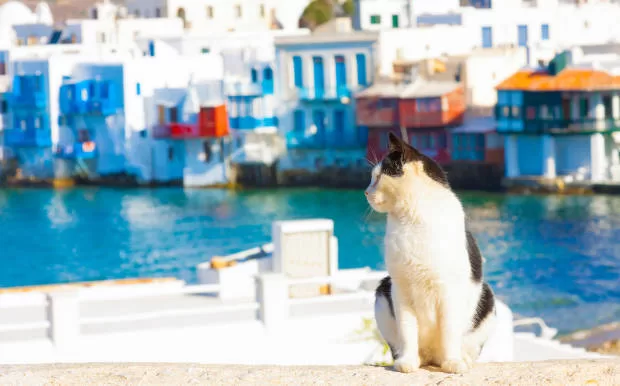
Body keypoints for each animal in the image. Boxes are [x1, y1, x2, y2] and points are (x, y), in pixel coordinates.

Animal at [366, 133, 496, 374]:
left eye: (378, 177)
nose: (366, 192)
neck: (412, 218)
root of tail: (432, 358)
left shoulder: (450, 290)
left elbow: (449, 331)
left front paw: (453, 362)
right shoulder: (400, 288)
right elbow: (407, 330)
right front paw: (407, 361)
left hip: (488, 299)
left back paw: (460, 359)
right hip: (382, 291)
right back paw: (413, 359)